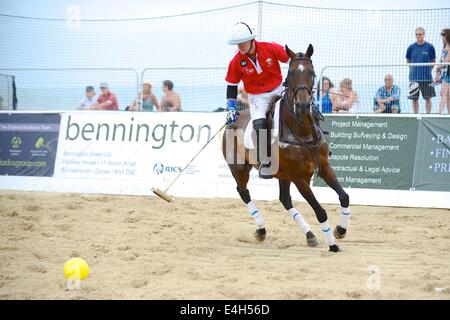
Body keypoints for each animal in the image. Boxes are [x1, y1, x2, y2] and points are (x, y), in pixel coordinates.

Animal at [223, 43, 350, 252]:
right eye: (290, 73)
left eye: (312, 72)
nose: (303, 105)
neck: (303, 132)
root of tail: (232, 121)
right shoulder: (299, 178)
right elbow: (320, 211)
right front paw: (332, 245)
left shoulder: (324, 167)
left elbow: (344, 196)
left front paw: (340, 230)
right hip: (239, 168)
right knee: (243, 192)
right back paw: (261, 230)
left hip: (282, 174)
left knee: (285, 199)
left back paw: (310, 235)